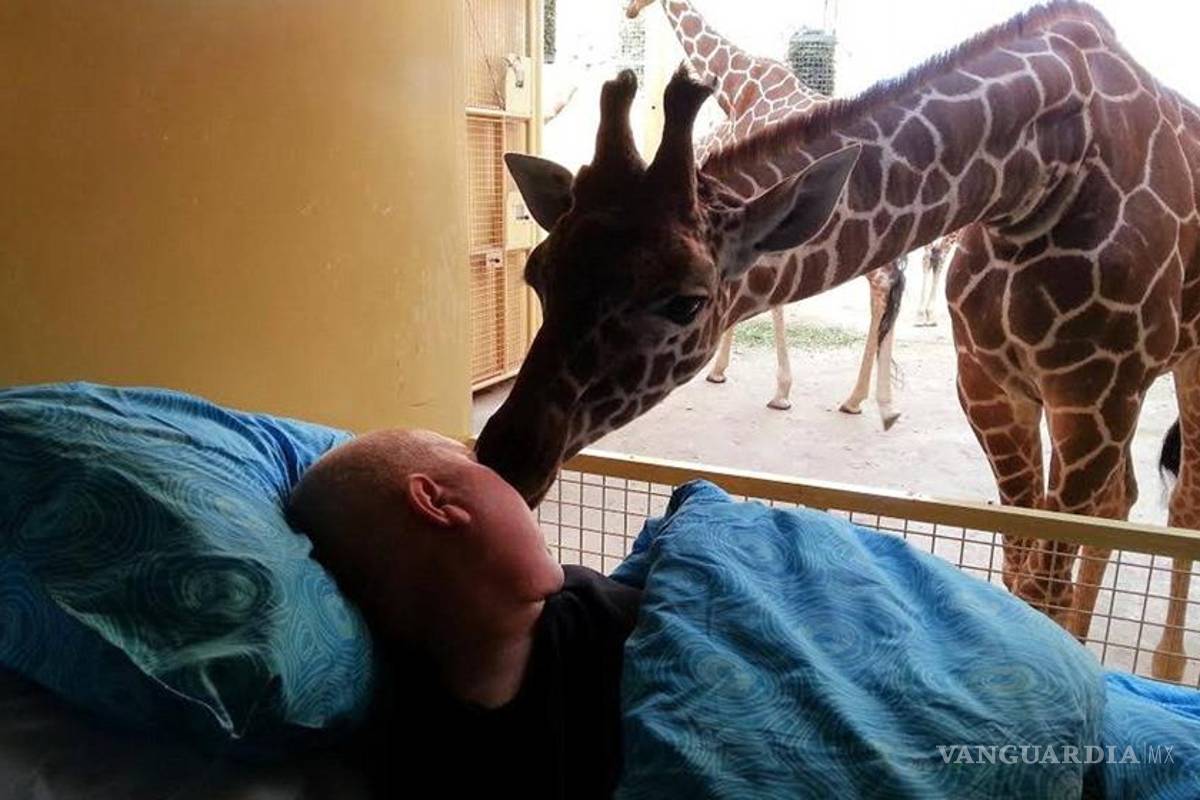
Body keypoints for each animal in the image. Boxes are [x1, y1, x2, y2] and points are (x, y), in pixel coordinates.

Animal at [626, 0, 907, 422]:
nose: (629, 11)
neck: (737, 85)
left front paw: (778, 390)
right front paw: (725, 370)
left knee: (884, 283)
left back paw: (865, 399)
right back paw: (866, 399)